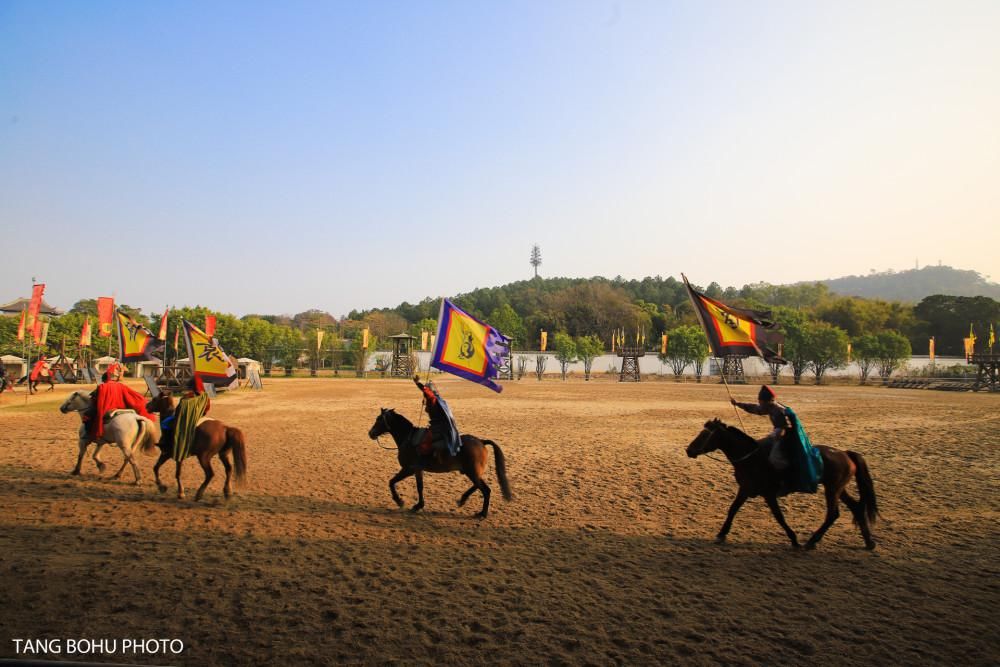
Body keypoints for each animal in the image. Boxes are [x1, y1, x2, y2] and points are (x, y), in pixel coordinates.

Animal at [372, 408, 516, 520]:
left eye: (379, 420)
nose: (370, 433)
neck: (409, 439)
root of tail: (481, 441)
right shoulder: (418, 470)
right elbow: (420, 487)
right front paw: (418, 505)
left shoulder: (409, 469)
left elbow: (392, 482)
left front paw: (399, 501)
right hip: (472, 472)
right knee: (478, 486)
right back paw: (463, 500)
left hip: (472, 472)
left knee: (485, 489)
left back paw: (482, 513)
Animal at [684, 420, 880, 552]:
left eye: (704, 435)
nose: (689, 450)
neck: (752, 458)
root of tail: (845, 453)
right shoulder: (745, 489)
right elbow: (733, 509)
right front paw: (721, 534)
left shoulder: (768, 494)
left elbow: (779, 517)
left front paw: (794, 539)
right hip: (839, 488)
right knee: (856, 507)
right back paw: (869, 542)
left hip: (832, 489)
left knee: (833, 514)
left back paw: (811, 541)